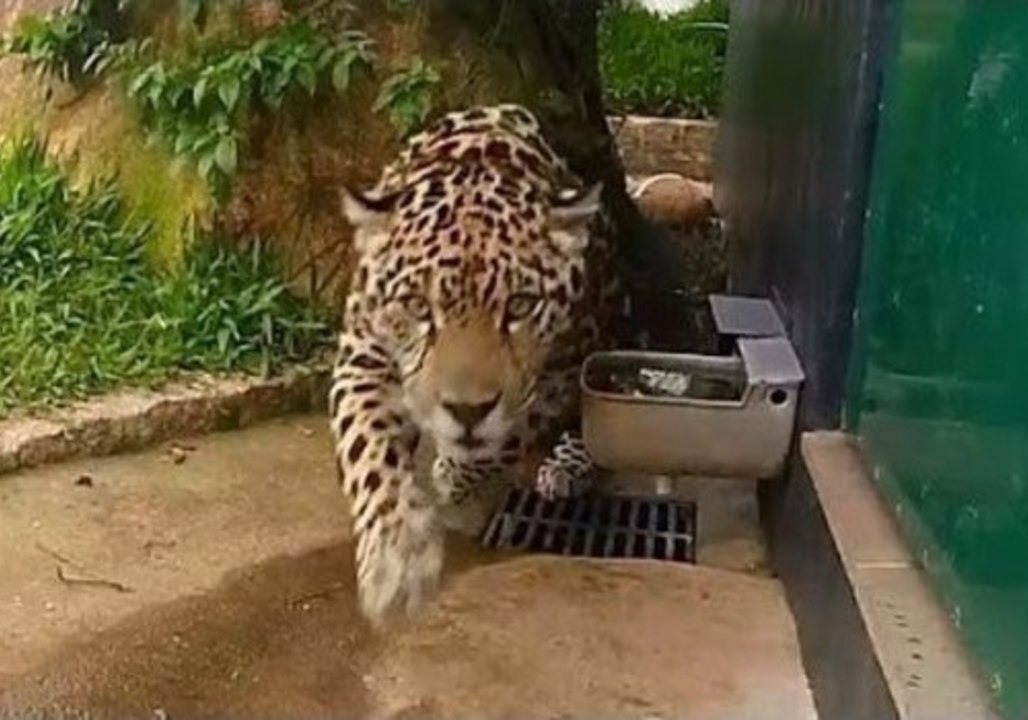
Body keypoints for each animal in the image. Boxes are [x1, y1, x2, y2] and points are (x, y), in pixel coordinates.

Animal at [329, 104, 625, 623]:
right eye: (417, 306)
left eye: (521, 305)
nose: (466, 411)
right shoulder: (361, 357)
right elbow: (368, 448)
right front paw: (396, 558)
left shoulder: (557, 378)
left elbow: (503, 440)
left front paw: (454, 477)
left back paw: (563, 470)